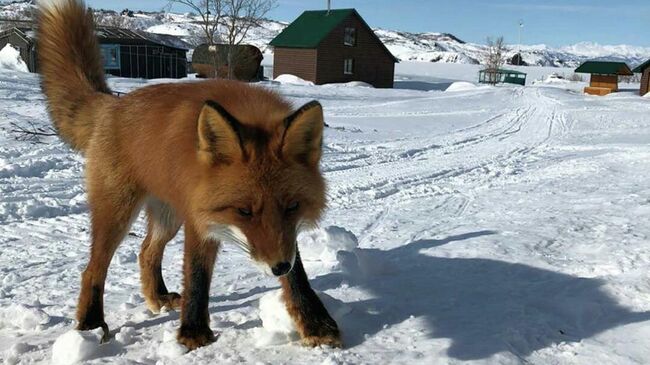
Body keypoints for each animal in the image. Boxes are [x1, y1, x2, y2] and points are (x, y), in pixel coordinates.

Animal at [36, 0, 340, 350]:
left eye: (292, 207)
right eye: (243, 211)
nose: (277, 266)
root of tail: (112, 104)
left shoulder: (281, 234)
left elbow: (298, 276)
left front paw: (316, 324)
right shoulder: (200, 215)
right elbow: (196, 276)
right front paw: (194, 334)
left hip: (168, 218)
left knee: (146, 252)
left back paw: (157, 298)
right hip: (118, 213)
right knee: (93, 269)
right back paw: (90, 324)